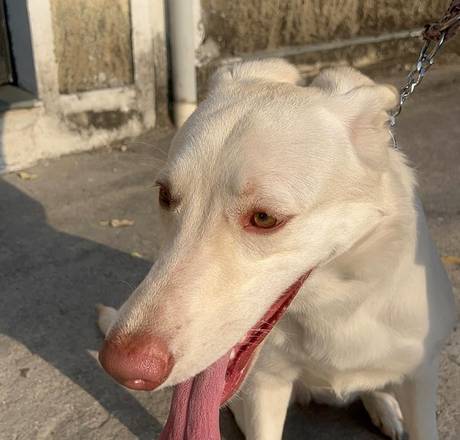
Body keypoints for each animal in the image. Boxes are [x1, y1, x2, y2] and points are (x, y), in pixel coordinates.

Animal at [97, 59, 456, 440]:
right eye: (164, 195)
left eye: (265, 218)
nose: (122, 368)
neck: (336, 307)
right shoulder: (265, 388)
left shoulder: (421, 377)